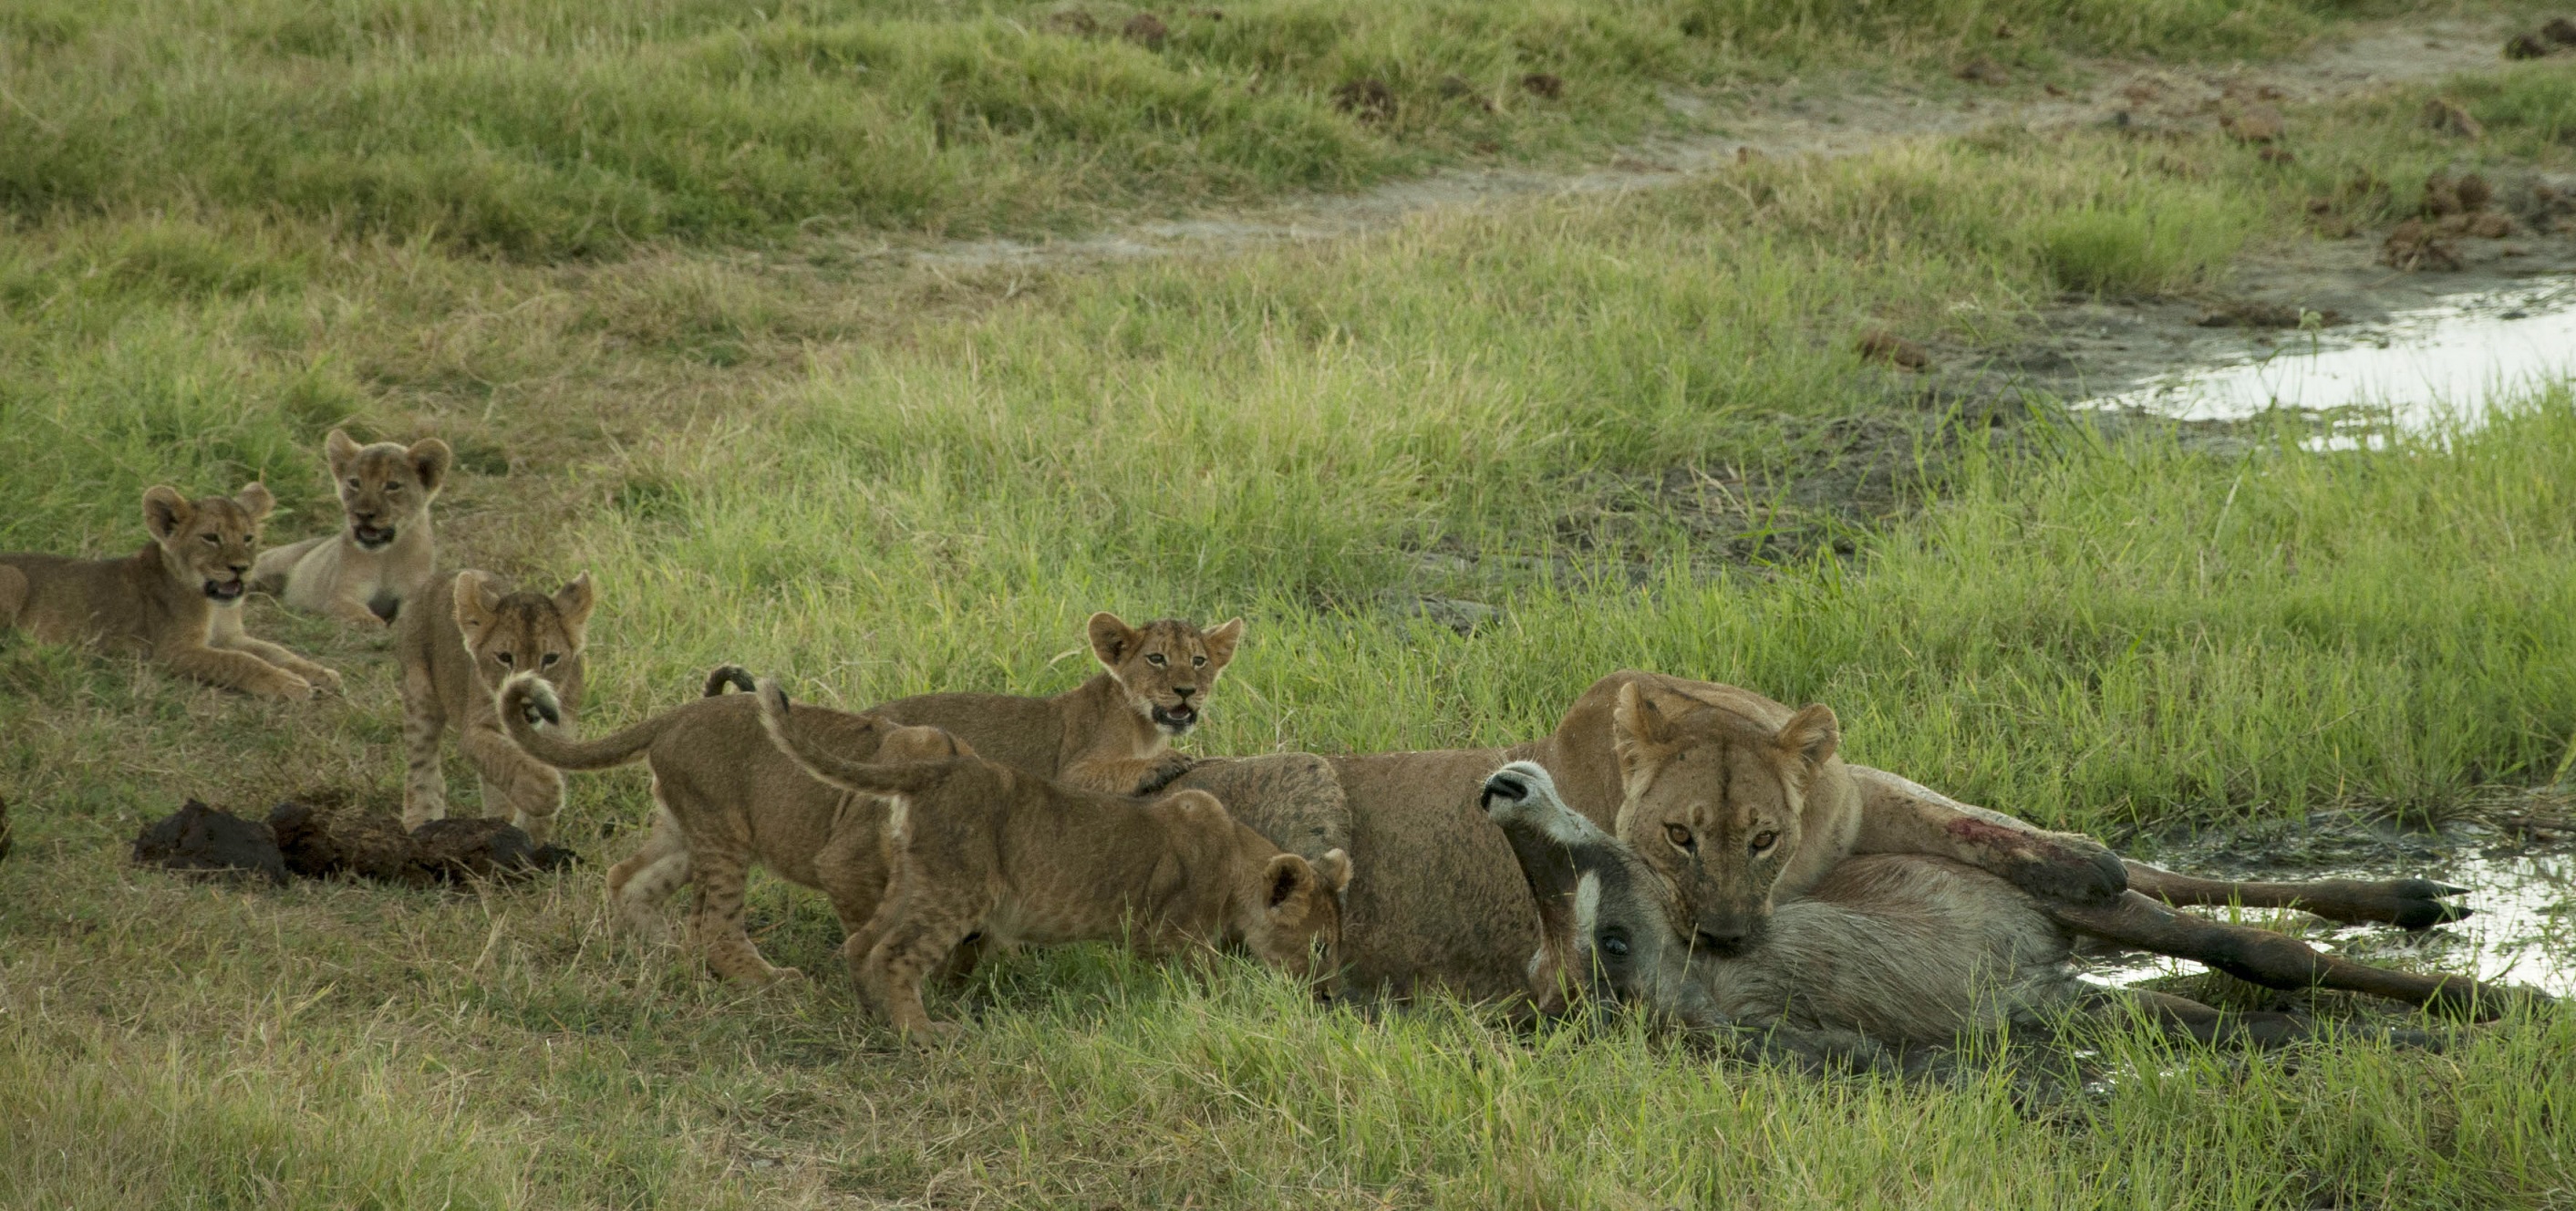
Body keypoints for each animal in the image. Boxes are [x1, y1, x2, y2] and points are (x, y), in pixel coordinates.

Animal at [0, 484, 340, 698]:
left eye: (247, 538)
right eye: (211, 538)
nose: (241, 568)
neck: (214, 604)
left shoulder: (232, 637)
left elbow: (275, 651)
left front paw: (321, 673)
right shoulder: (174, 651)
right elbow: (239, 662)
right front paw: (288, 684)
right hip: (14, 577)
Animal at [250, 429, 451, 626]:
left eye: (392, 486)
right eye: (355, 482)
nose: (363, 514)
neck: (386, 557)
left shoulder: (413, 593)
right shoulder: (343, 593)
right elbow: (358, 613)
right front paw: (371, 621)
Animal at [398, 569, 594, 842]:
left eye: (551, 659)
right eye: (504, 657)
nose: (528, 704)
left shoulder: (559, 734)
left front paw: (531, 838)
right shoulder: (475, 729)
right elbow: (504, 758)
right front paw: (542, 792)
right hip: (420, 692)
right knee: (422, 762)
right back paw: (421, 819)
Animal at [605, 611, 1247, 928]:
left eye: (1199, 660)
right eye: (1156, 659)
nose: (1187, 693)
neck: (1141, 721)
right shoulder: (1070, 768)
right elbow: (1115, 772)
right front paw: (1167, 765)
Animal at [754, 679, 1352, 1043]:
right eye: (1319, 947)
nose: (1326, 996)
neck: (1237, 856)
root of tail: (938, 771)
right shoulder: (1176, 937)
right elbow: (1213, 982)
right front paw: (1246, 1011)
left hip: (914, 880)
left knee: (861, 943)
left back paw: (873, 1020)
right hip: (958, 892)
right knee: (893, 953)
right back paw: (922, 1034)